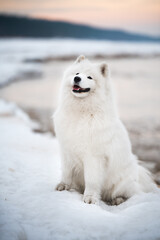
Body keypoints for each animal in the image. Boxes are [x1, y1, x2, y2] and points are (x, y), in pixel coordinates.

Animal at [53, 55, 156, 204]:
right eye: (77, 73)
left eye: (89, 77)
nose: (77, 79)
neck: (81, 113)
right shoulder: (66, 150)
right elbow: (66, 172)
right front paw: (63, 186)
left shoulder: (94, 157)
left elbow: (91, 180)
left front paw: (90, 198)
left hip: (121, 183)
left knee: (129, 194)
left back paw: (118, 200)